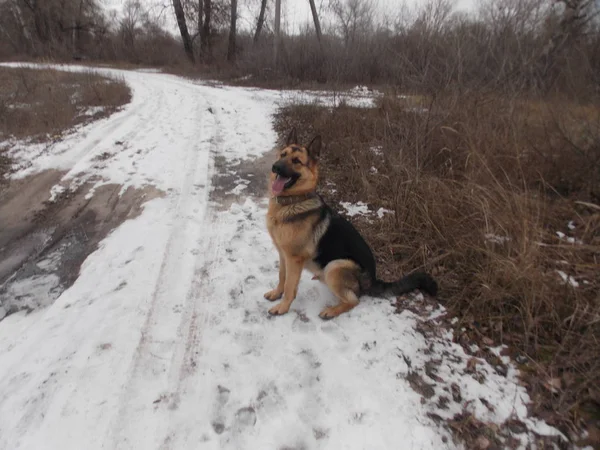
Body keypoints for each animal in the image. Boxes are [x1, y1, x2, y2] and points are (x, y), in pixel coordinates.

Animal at [264, 128, 438, 318]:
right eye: (283, 154)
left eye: (296, 161)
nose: (275, 167)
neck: (292, 203)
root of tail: (374, 280)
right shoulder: (283, 255)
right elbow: (282, 277)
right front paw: (276, 294)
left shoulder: (294, 259)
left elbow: (289, 286)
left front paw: (282, 307)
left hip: (335, 266)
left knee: (354, 300)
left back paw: (331, 311)